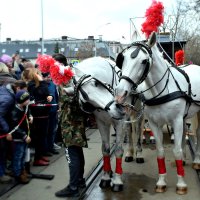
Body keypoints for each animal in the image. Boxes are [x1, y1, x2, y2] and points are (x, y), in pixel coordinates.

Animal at [65, 57, 144, 191]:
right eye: (86, 103)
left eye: (96, 83)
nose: (117, 109)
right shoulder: (102, 123)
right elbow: (105, 149)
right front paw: (106, 177)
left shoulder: (119, 122)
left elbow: (118, 150)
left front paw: (117, 180)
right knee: (129, 130)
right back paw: (130, 153)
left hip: (137, 112)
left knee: (138, 130)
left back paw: (138, 154)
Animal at [114, 32, 200, 194]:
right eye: (123, 58)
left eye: (144, 61)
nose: (121, 93)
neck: (161, 91)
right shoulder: (155, 123)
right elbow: (160, 151)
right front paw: (161, 182)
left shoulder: (176, 121)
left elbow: (176, 151)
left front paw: (181, 184)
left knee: (197, 134)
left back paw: (197, 160)